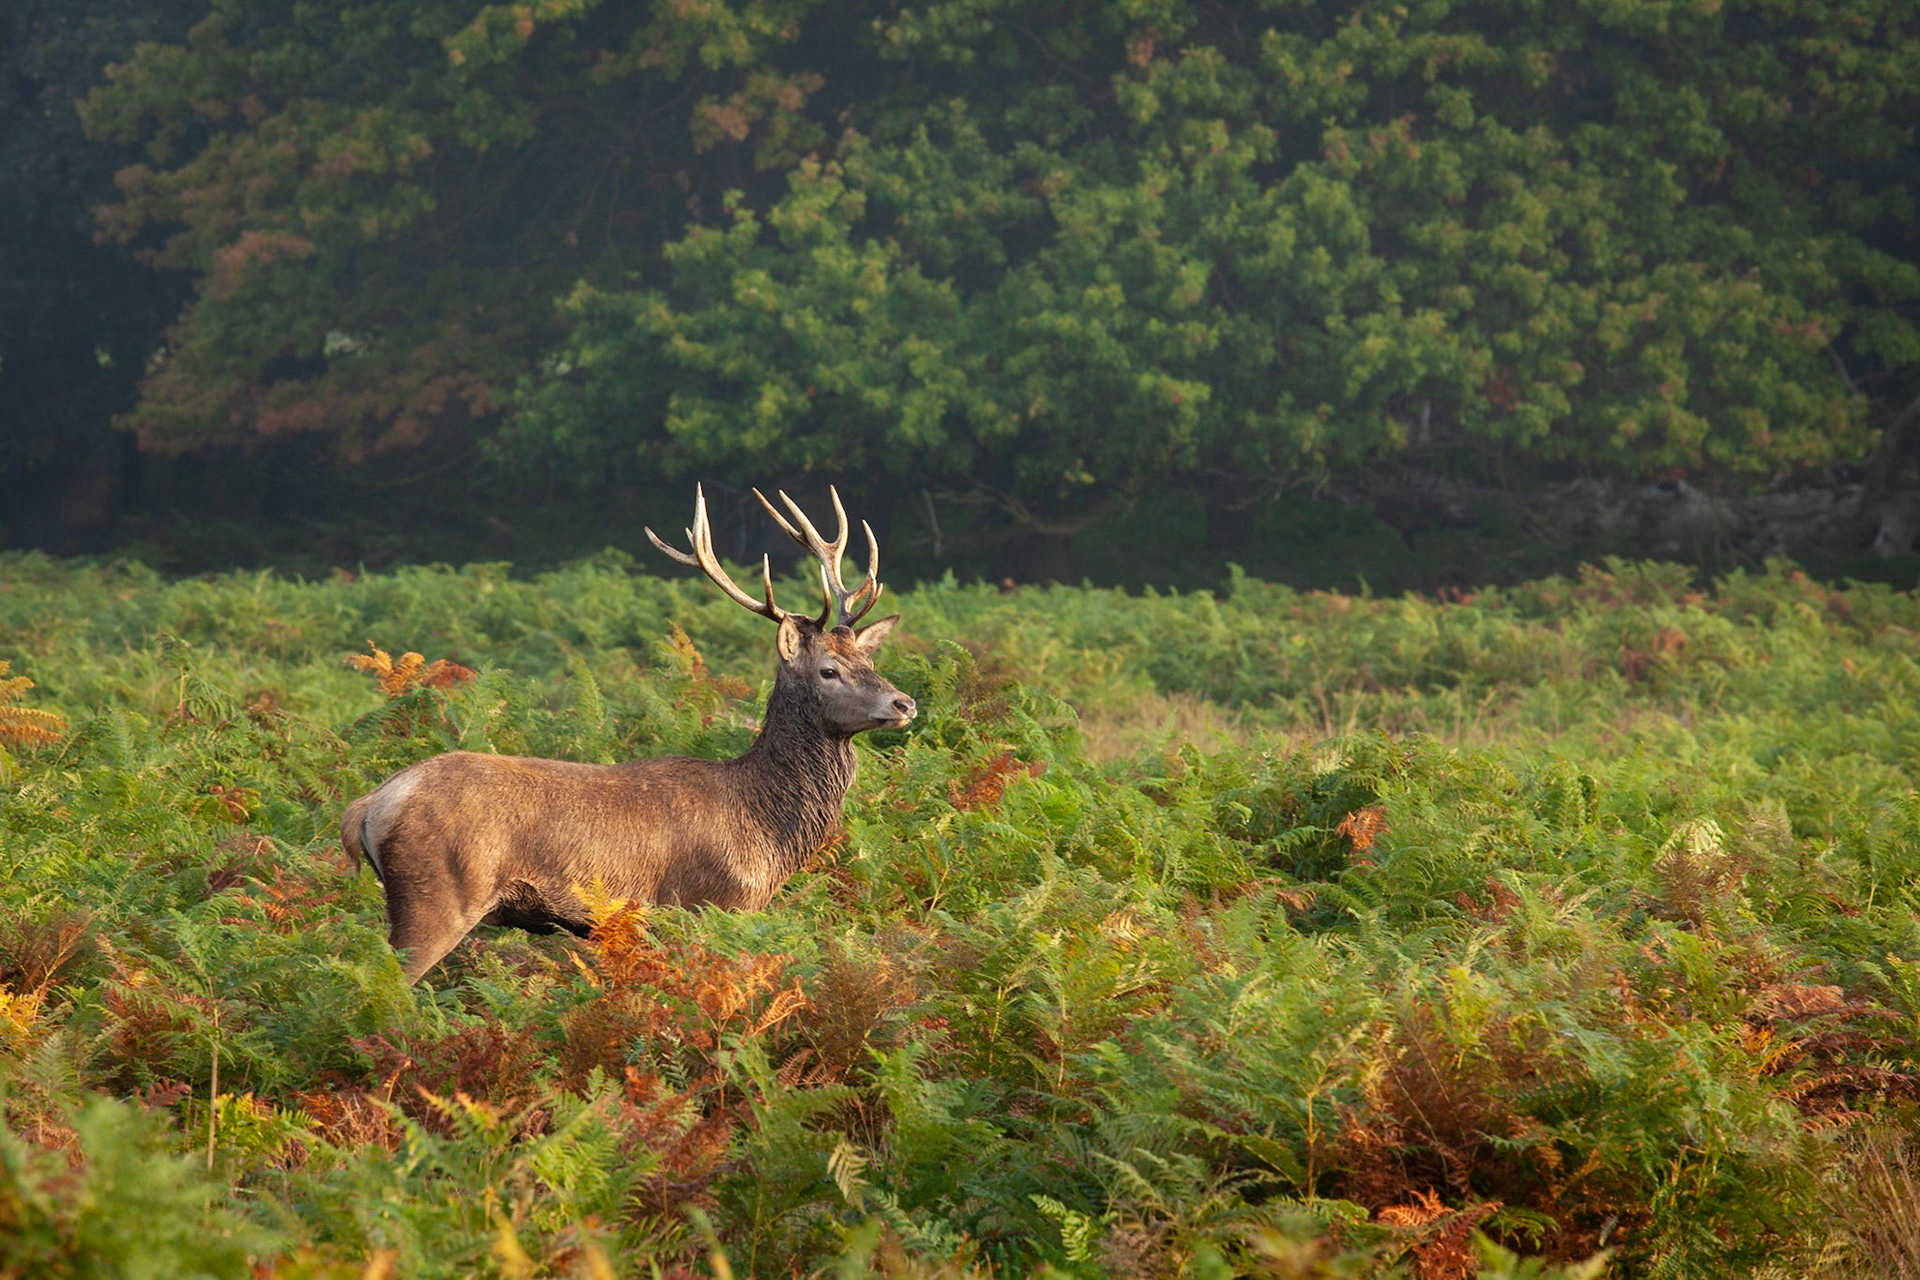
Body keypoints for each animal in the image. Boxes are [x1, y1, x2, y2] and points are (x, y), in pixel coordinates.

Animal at [339, 484, 916, 983]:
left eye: (869, 660)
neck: (763, 832)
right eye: (828, 671)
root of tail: (368, 807)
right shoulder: (706, 904)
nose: (904, 703)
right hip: (436, 895)